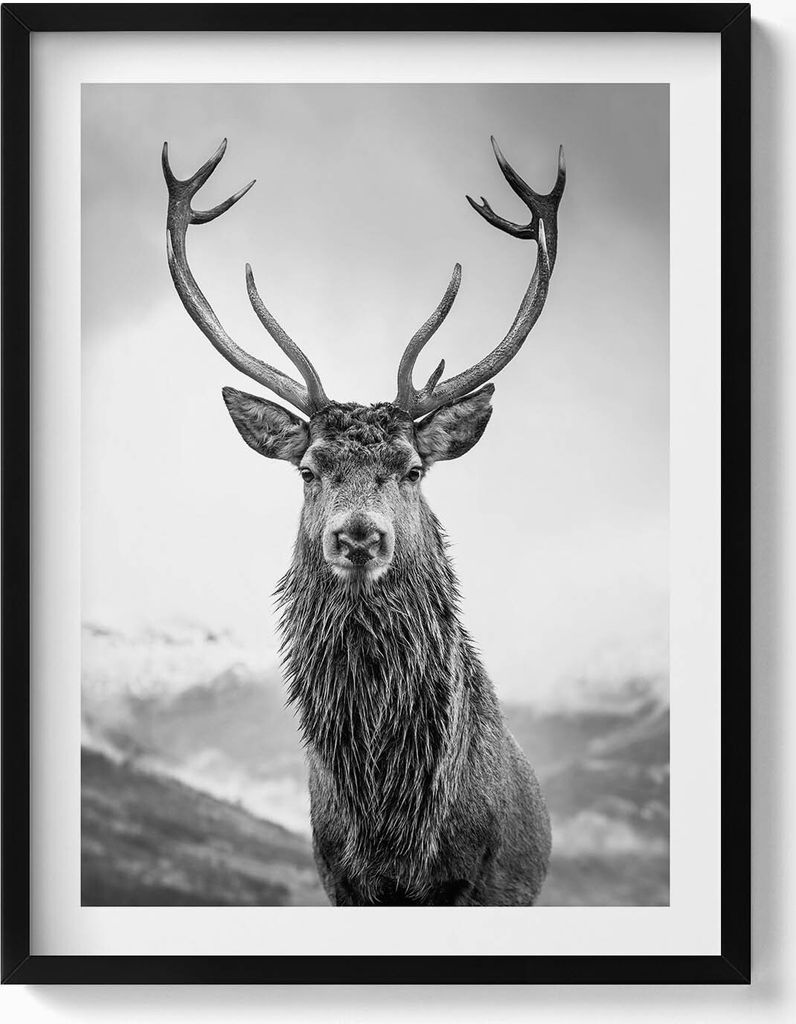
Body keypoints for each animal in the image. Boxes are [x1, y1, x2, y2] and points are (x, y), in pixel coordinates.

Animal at [162, 135, 565, 905]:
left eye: (412, 469)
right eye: (308, 468)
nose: (358, 535)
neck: (393, 828)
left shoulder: (475, 882)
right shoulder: (338, 877)